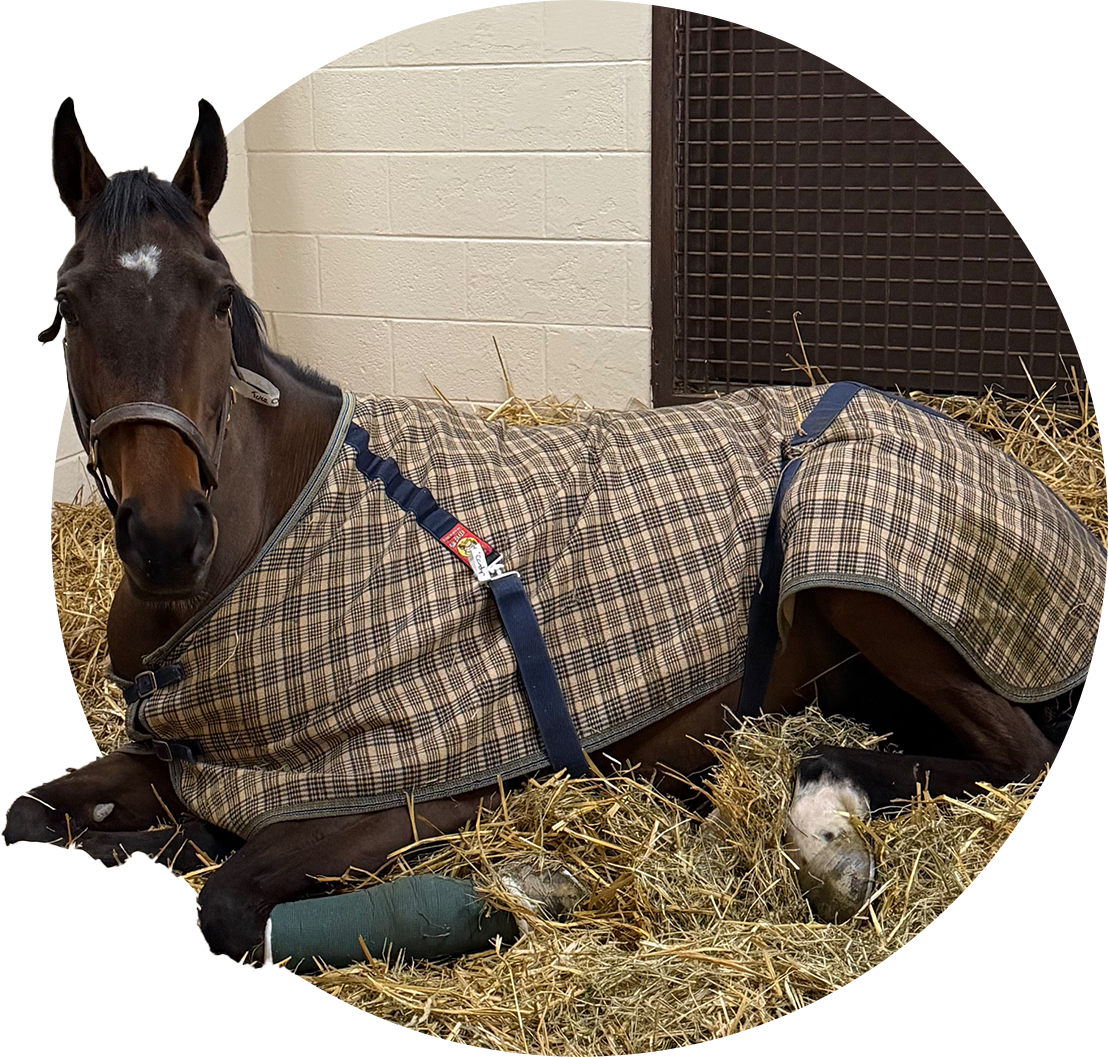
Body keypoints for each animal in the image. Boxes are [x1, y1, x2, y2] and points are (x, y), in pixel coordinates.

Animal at [7, 96, 1108, 963]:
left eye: (218, 296)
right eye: (68, 302)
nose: (165, 536)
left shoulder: (410, 794)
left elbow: (230, 893)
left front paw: (509, 893)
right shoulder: (183, 758)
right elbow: (32, 815)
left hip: (858, 574)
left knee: (1025, 755)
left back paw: (821, 810)